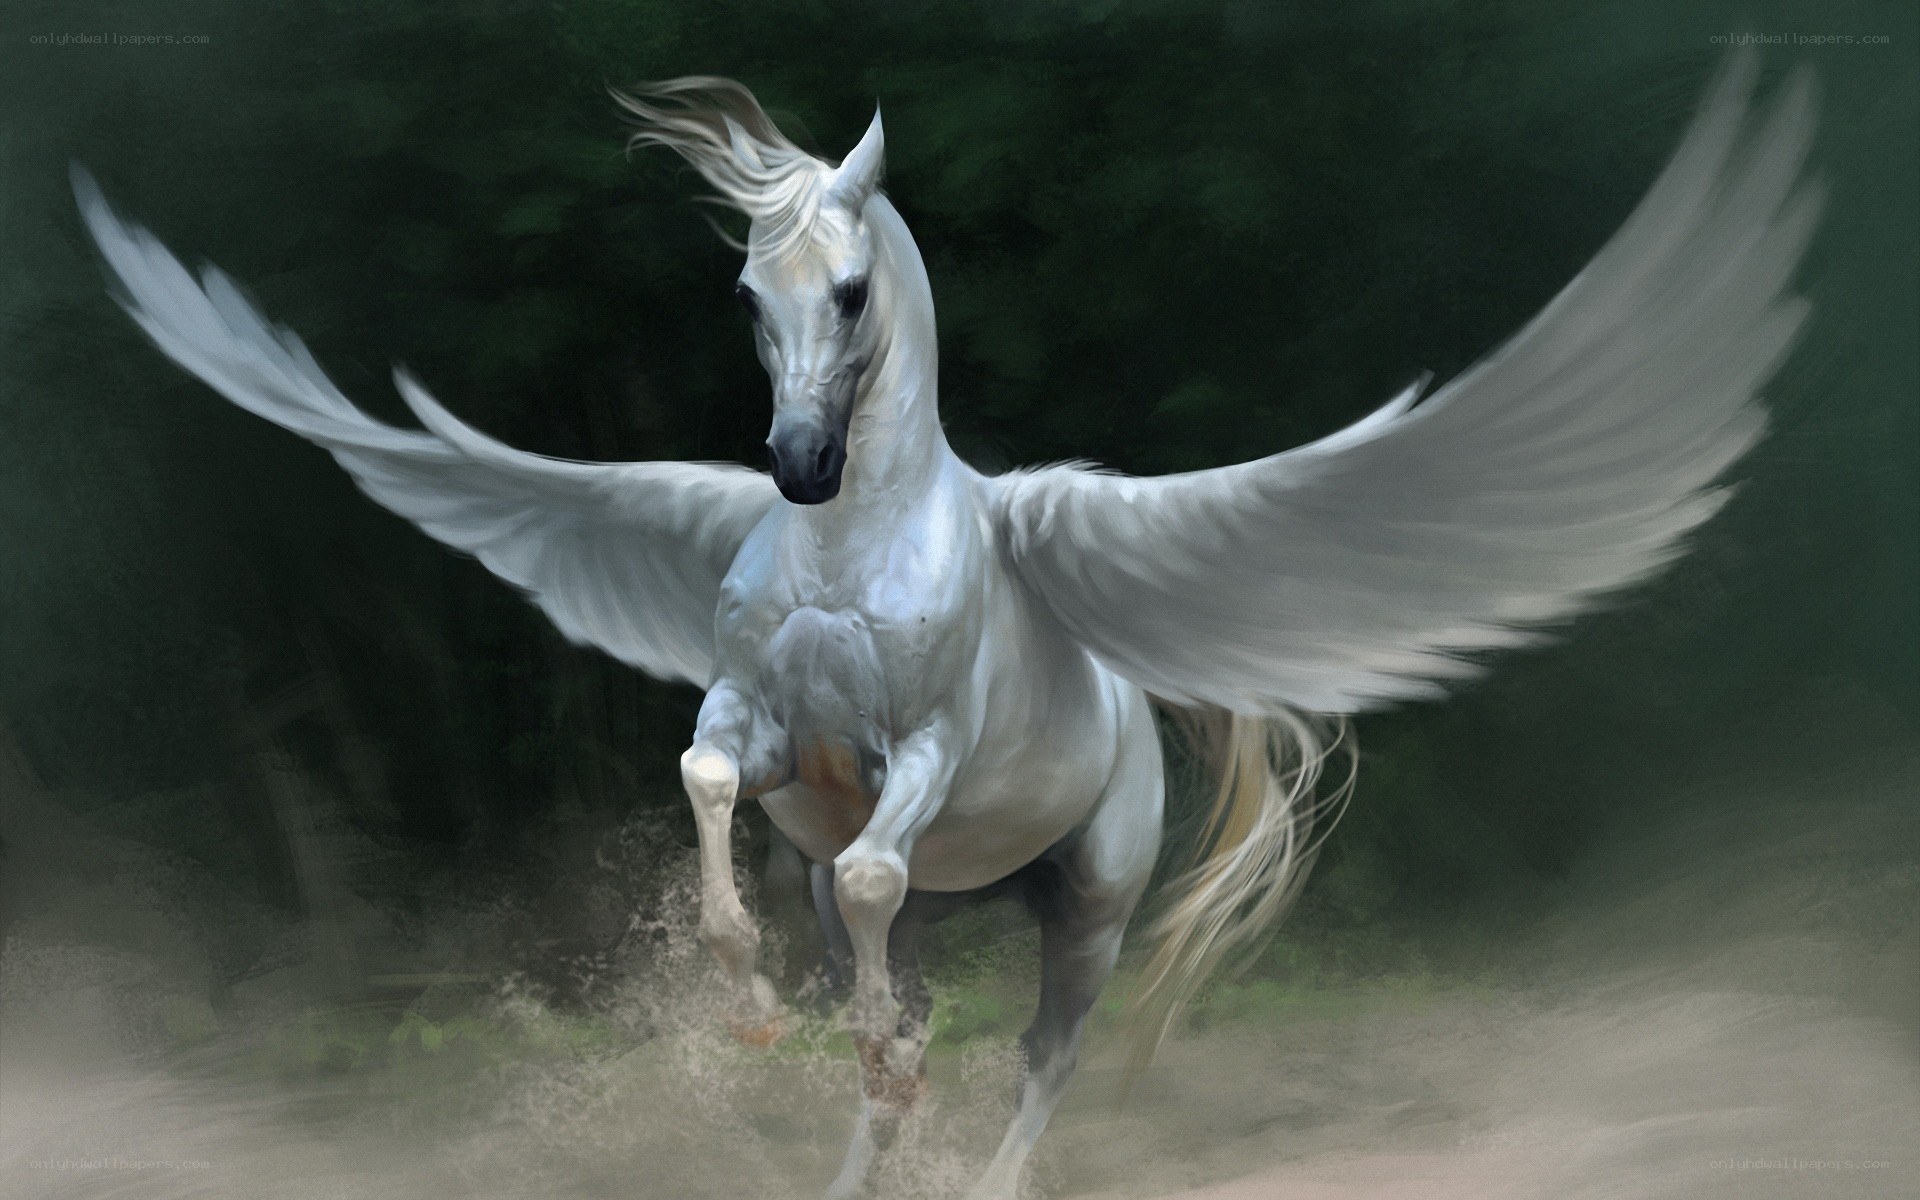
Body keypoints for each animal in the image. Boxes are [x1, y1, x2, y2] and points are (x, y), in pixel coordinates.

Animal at [74, 50, 1815, 1200]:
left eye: (851, 293)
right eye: (747, 295)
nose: (794, 462)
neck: (855, 545)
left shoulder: (918, 752)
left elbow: (872, 881)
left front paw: (821, 1034)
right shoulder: (758, 727)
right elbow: (720, 797)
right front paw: (750, 1005)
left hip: (1089, 904)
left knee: (1038, 1051)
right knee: (903, 981)